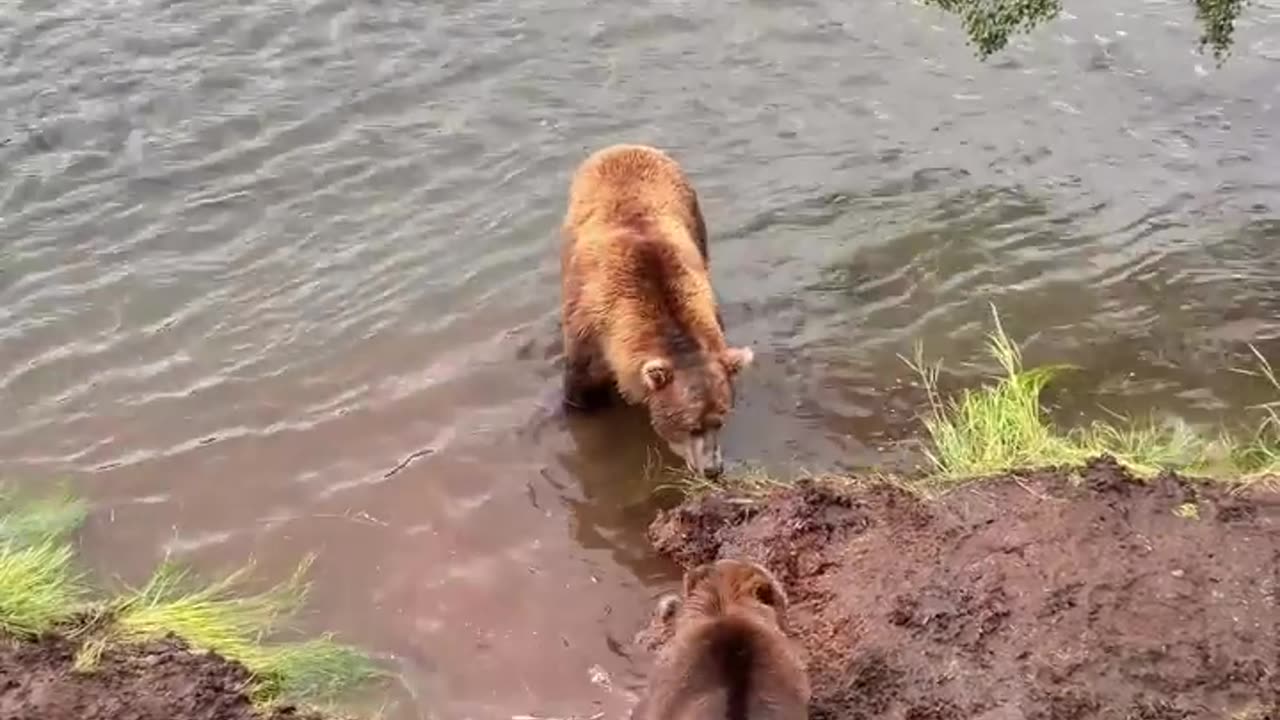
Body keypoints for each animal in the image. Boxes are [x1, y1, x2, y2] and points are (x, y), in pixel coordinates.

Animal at [558, 141, 747, 476]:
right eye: (691, 426)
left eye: (720, 420)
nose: (713, 469)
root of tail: (625, 145)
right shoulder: (587, 331)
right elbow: (581, 394)